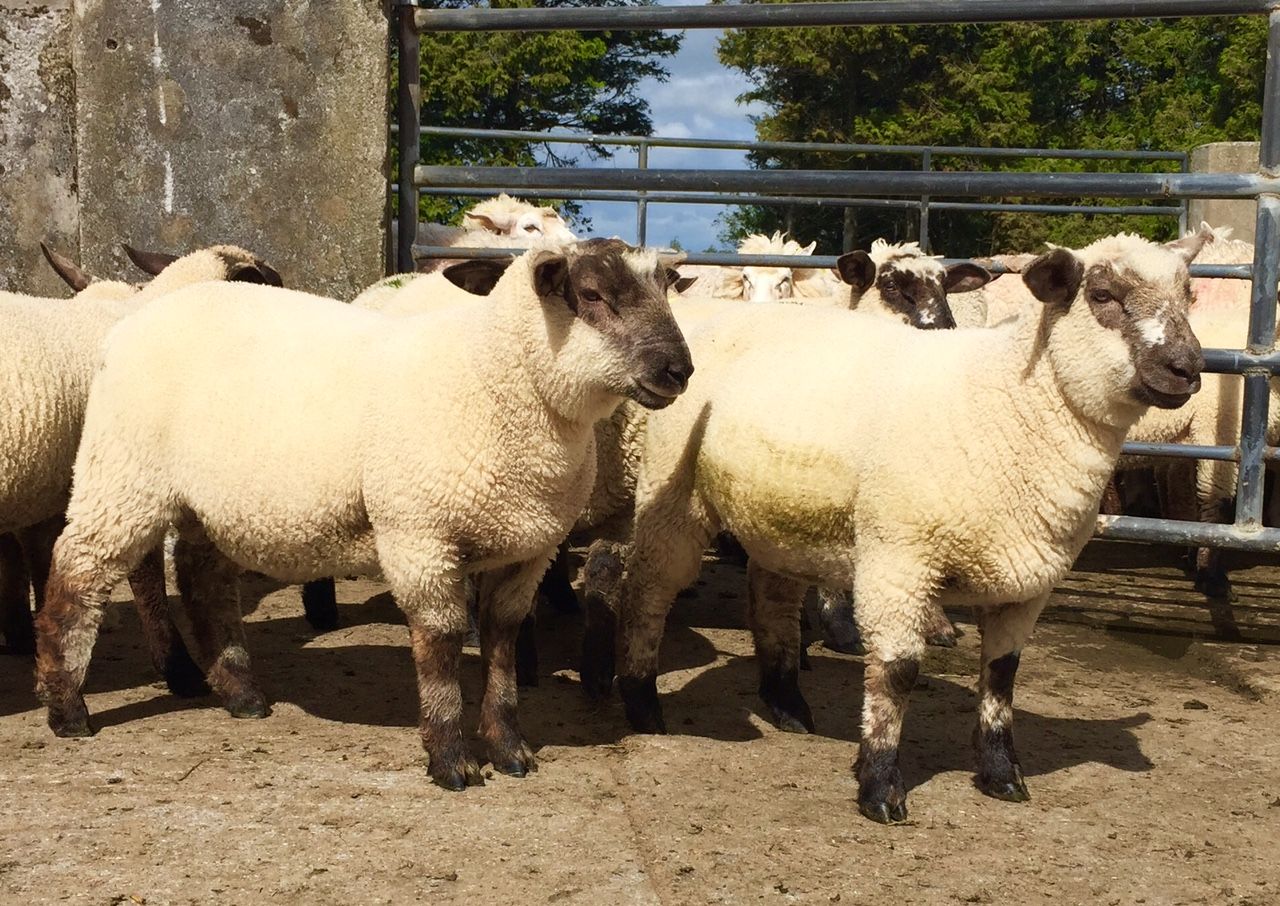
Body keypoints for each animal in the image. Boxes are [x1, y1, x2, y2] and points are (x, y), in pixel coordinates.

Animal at [0, 242, 281, 688]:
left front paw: (26, 639)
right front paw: (179, 670)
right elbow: (145, 578)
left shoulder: (41, 488)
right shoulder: (124, 485)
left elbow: (30, 561)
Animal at [32, 238, 693, 792]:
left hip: (212, 500)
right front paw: (451, 759)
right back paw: (67, 709)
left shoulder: (529, 549)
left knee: (203, 579)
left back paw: (241, 693)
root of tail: (140, 314)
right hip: (123, 473)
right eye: (591, 295)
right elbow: (441, 642)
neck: (493, 377)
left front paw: (509, 748)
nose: (679, 371)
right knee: (77, 575)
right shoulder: (418, 532)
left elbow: (502, 641)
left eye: (667, 288)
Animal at [585, 230, 1207, 824]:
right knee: (648, 592)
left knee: (773, 599)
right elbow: (898, 673)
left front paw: (1001, 775)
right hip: (673, 492)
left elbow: (1002, 676)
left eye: (1188, 294)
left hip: (780, 509)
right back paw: (643, 703)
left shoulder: (1028, 584)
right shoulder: (899, 558)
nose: (1187, 369)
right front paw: (880, 786)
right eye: (1102, 295)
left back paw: (788, 704)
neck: (1012, 401)